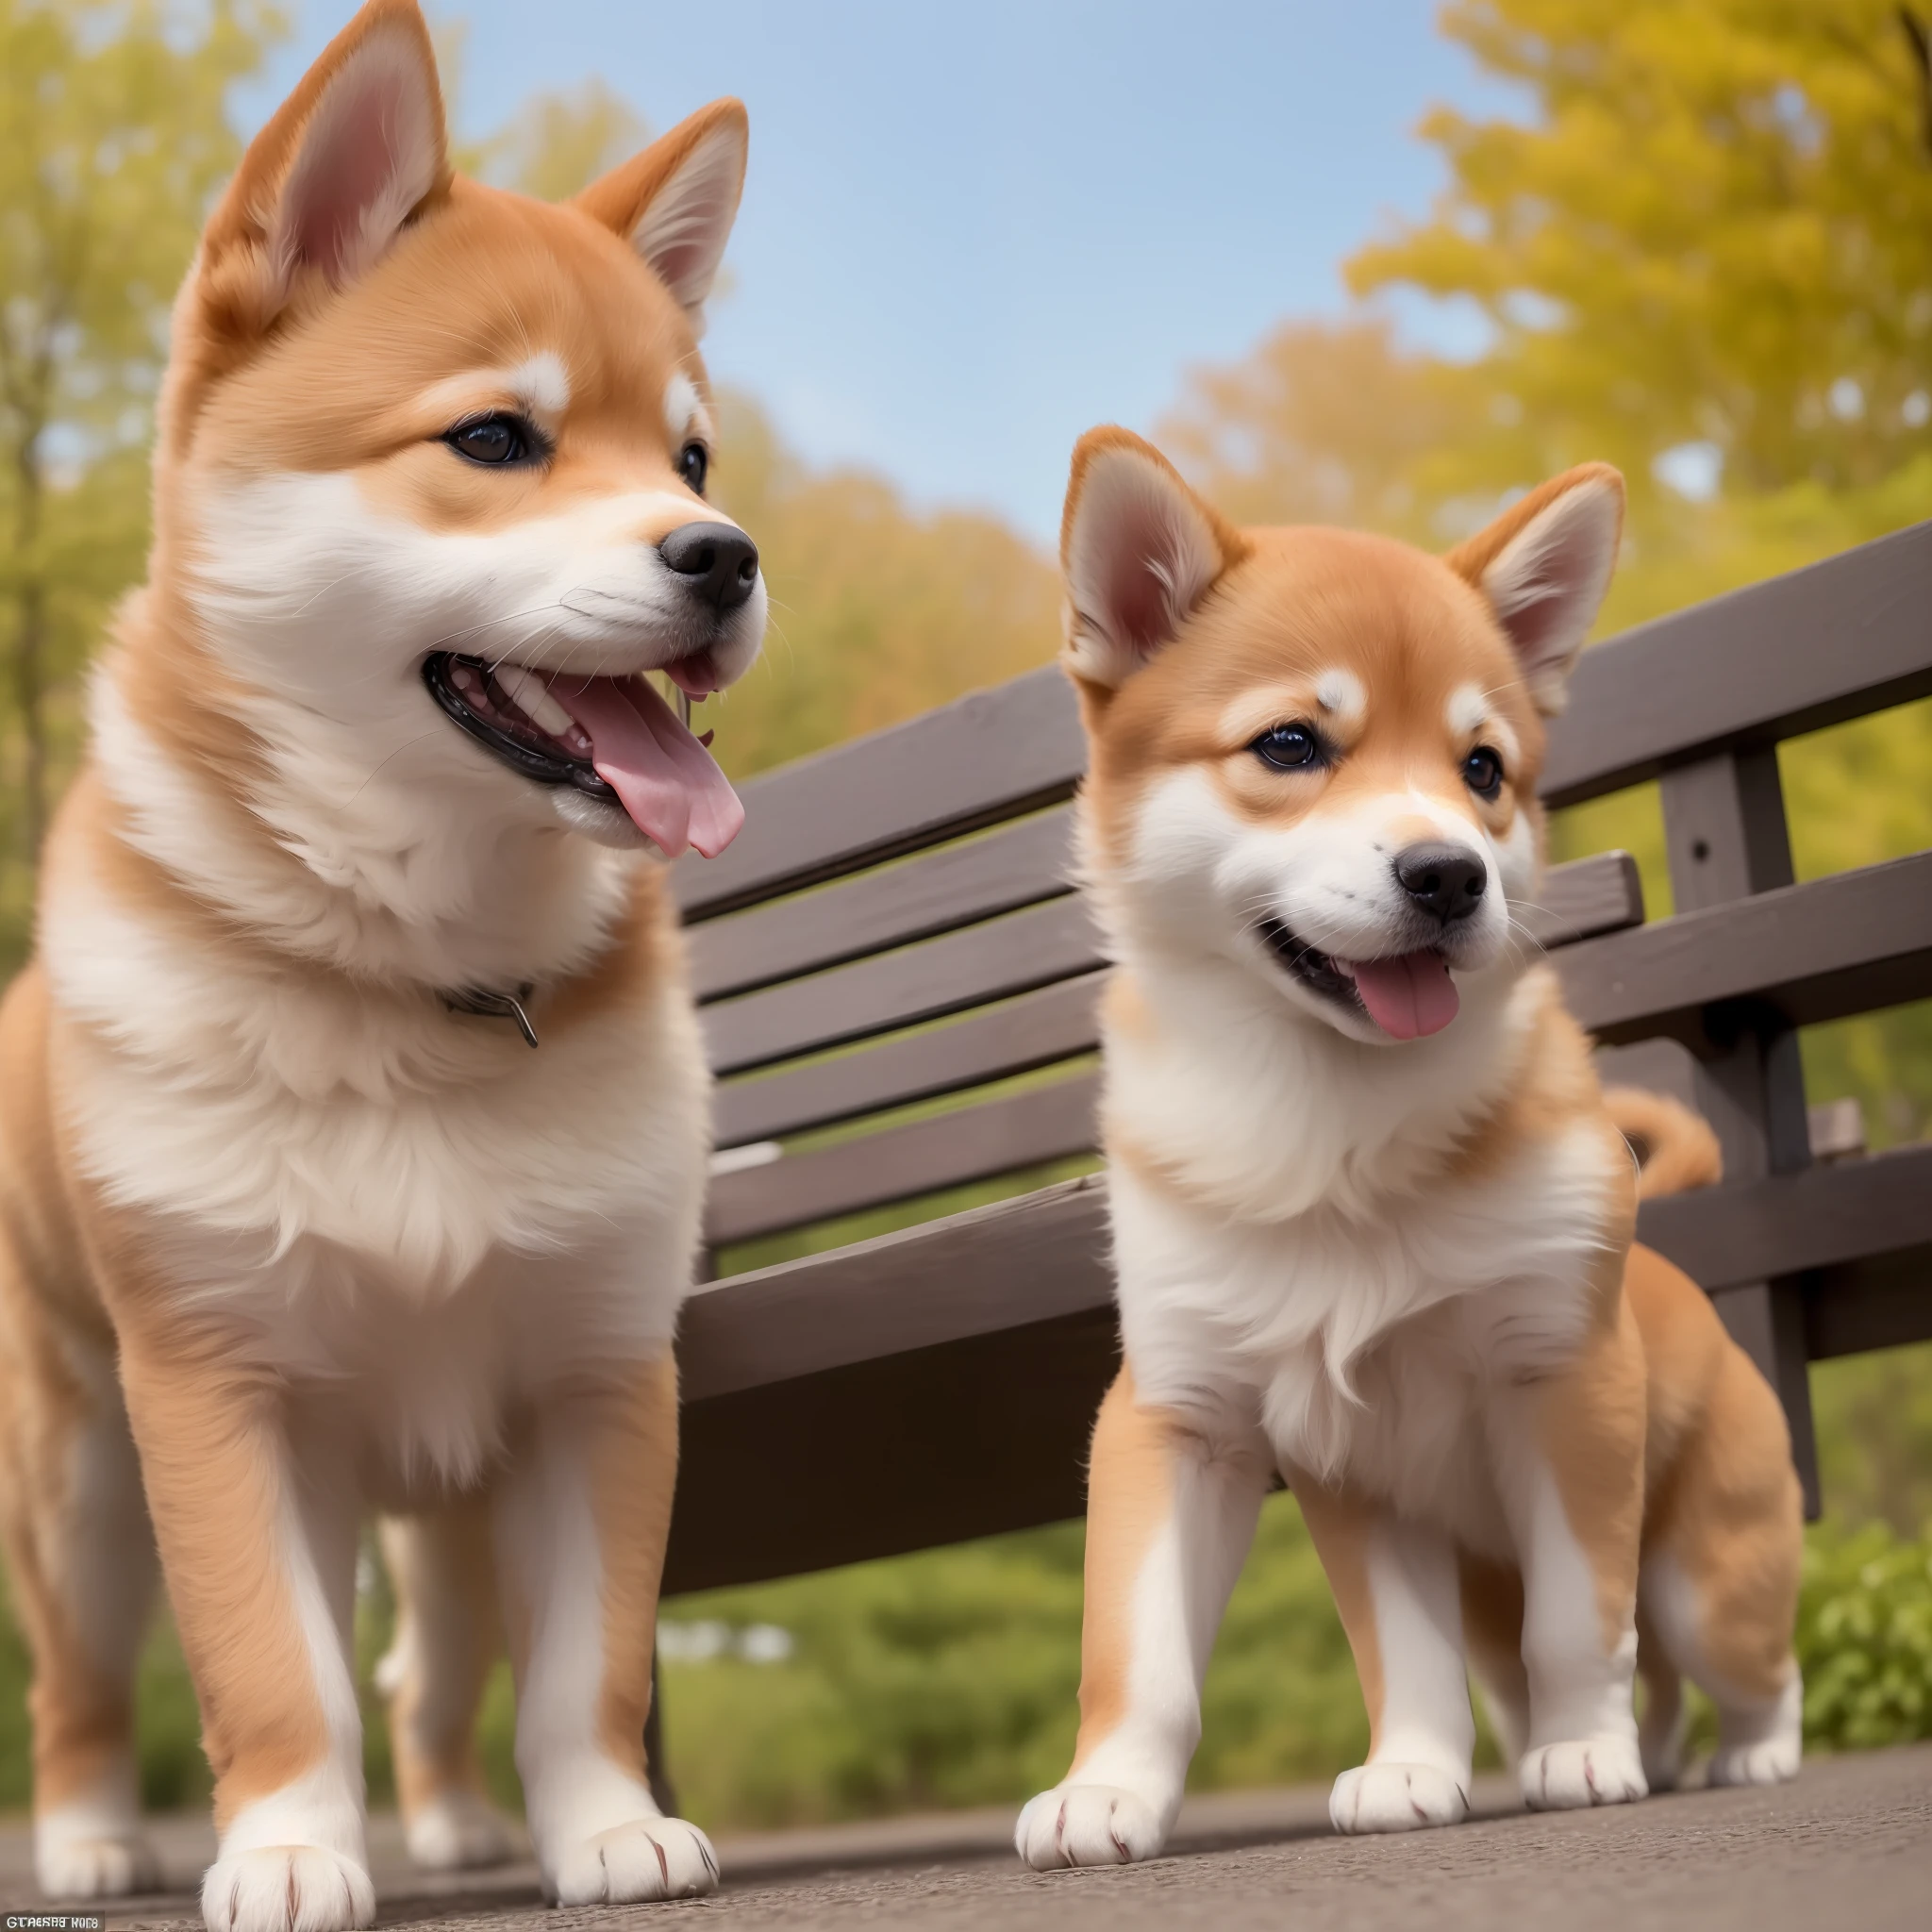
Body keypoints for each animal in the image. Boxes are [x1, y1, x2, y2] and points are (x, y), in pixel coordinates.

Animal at [0, 8, 765, 1924]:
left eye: (690, 461)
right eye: (496, 436)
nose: (727, 559)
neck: (412, 979)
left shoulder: (591, 1369)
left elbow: (586, 1669)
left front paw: (604, 1827)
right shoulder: (218, 1386)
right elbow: (274, 1669)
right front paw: (283, 1846)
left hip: (442, 1499)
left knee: (432, 1668)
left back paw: (452, 1816)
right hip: (81, 1479)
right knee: (81, 1677)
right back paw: (94, 1829)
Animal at [1020, 430, 1800, 1862]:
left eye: (1481, 769)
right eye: (1289, 744)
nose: (1448, 874)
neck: (1329, 1129)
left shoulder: (1564, 1385)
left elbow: (1580, 1623)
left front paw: (1583, 1754)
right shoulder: (1228, 1421)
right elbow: (1172, 1653)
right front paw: (1121, 1789)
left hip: (1708, 1572)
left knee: (1742, 1663)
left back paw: (1741, 1755)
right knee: (1591, 1672)